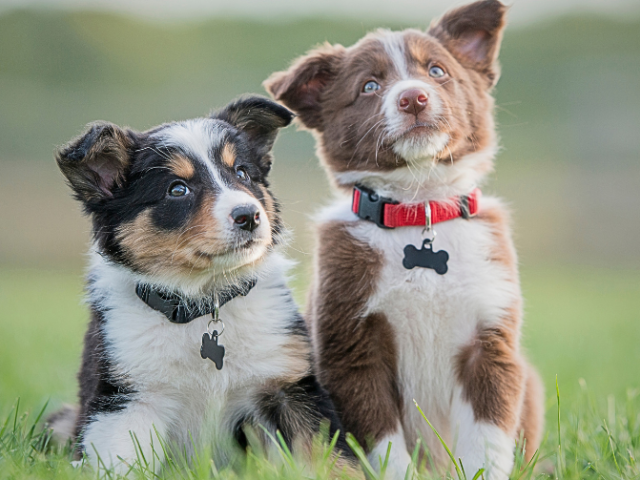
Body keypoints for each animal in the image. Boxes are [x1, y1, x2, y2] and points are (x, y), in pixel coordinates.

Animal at [47, 95, 358, 474]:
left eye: (242, 173)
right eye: (178, 190)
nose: (249, 216)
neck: (203, 302)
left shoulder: (289, 385)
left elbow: (334, 458)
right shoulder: (126, 399)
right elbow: (121, 462)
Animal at [266, 1, 544, 478]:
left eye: (436, 71)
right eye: (369, 86)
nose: (413, 97)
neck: (420, 208)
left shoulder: (490, 339)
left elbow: (487, 438)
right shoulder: (352, 347)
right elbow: (384, 443)